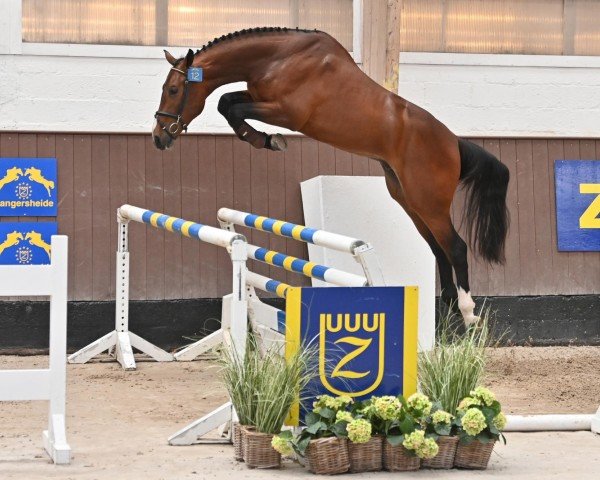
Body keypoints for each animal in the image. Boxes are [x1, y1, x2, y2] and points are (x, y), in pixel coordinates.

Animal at [152, 27, 508, 326]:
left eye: (173, 89)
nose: (159, 136)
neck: (280, 57)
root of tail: (453, 142)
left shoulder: (288, 112)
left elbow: (231, 107)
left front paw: (268, 140)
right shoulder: (259, 97)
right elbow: (228, 101)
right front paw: (264, 139)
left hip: (429, 202)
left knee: (456, 248)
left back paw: (469, 314)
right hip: (410, 200)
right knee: (438, 249)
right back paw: (449, 312)